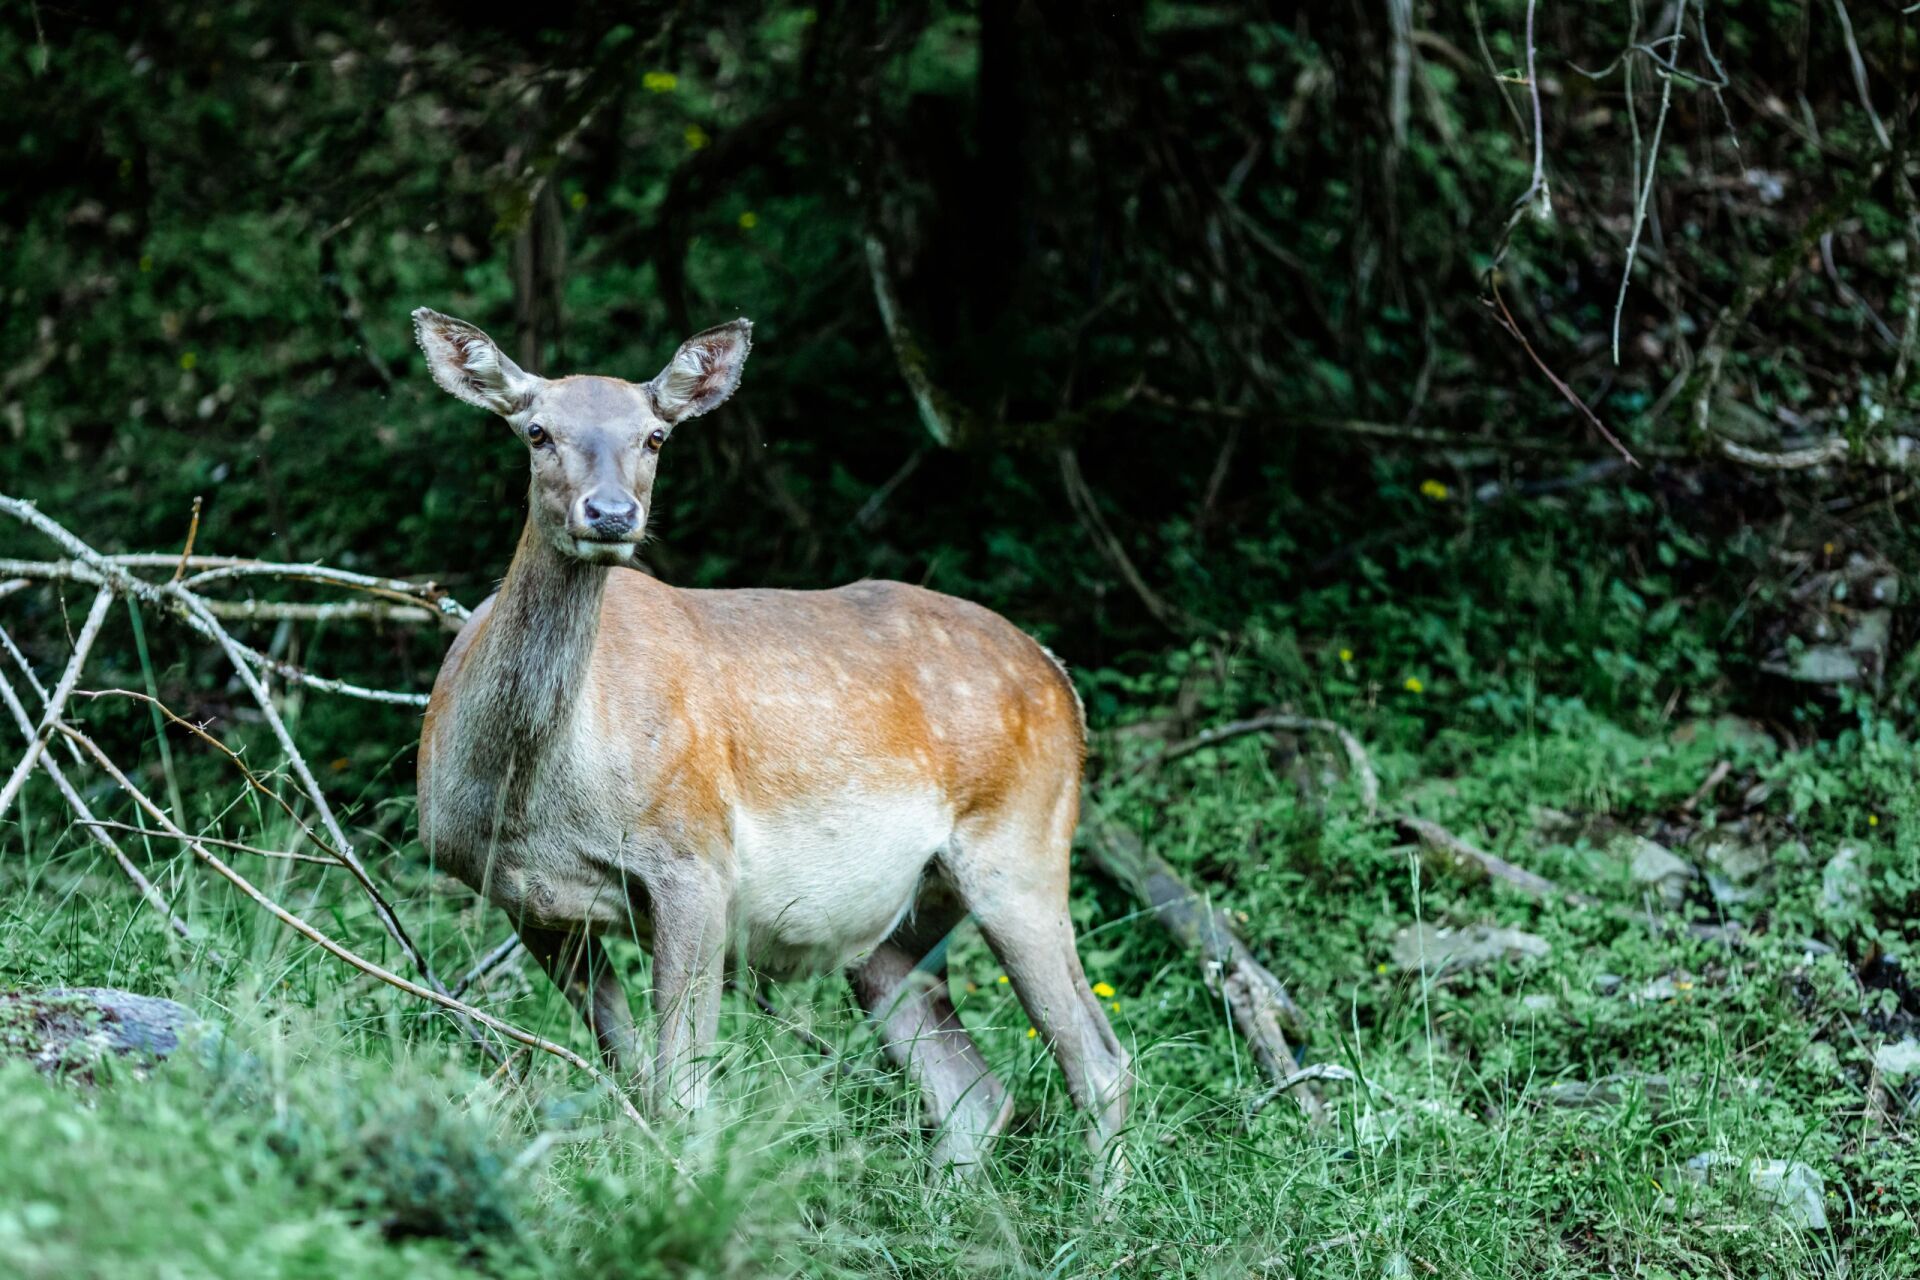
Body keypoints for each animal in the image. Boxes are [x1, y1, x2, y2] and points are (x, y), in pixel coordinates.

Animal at [410, 308, 1131, 1184]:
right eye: (537, 430)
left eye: (655, 436)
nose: (612, 514)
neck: (527, 800)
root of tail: (1062, 681)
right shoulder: (530, 904)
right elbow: (632, 1074)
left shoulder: (694, 859)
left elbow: (682, 1092)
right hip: (896, 930)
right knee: (972, 1095)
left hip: (1021, 848)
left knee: (1098, 1063)